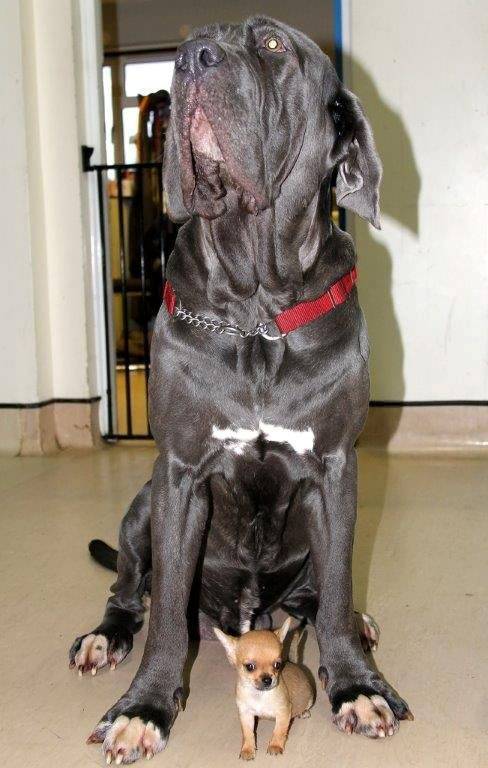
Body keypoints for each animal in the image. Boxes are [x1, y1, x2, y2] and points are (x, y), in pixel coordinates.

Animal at [69, 16, 412, 760]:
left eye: (275, 47)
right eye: (186, 44)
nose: (193, 59)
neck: (257, 310)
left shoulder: (335, 471)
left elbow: (337, 586)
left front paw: (355, 684)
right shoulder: (179, 474)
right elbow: (168, 609)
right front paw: (145, 706)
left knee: (315, 599)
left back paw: (353, 624)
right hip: (141, 506)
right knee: (130, 588)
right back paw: (106, 636)